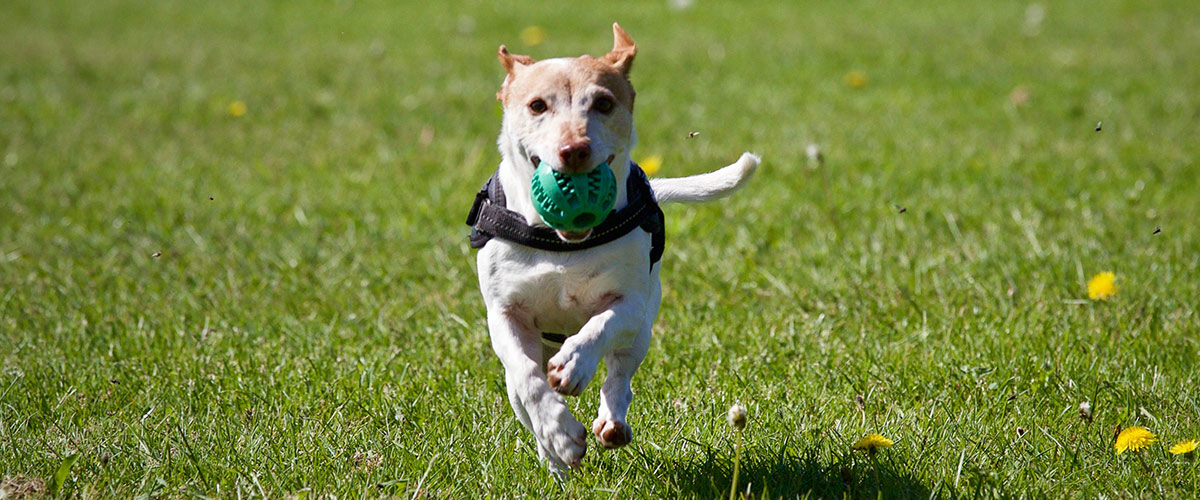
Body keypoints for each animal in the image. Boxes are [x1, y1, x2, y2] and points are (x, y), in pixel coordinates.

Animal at [468, 22, 758, 474]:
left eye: (603, 103)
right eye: (537, 105)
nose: (574, 150)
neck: (562, 244)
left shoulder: (631, 304)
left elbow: (599, 327)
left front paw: (574, 364)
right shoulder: (504, 314)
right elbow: (530, 380)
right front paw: (560, 433)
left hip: (642, 331)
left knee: (620, 375)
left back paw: (611, 421)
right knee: (524, 394)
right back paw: (554, 458)